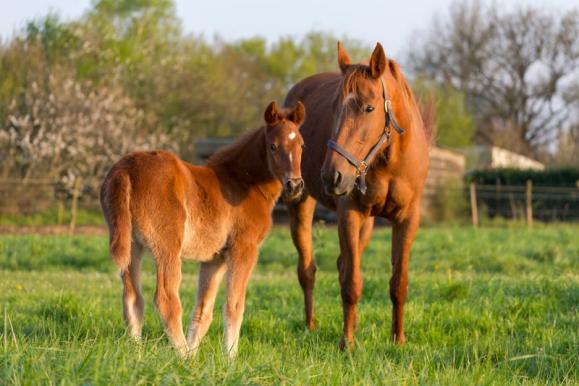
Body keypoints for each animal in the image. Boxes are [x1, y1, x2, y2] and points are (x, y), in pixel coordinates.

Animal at [101, 102, 306, 356]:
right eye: (273, 146)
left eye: (301, 145)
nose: (294, 185)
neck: (242, 183)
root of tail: (125, 169)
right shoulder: (244, 249)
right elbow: (234, 305)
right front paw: (229, 358)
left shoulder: (214, 259)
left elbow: (203, 311)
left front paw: (197, 355)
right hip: (167, 247)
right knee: (166, 299)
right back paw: (181, 356)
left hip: (131, 245)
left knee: (133, 298)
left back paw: (138, 353)